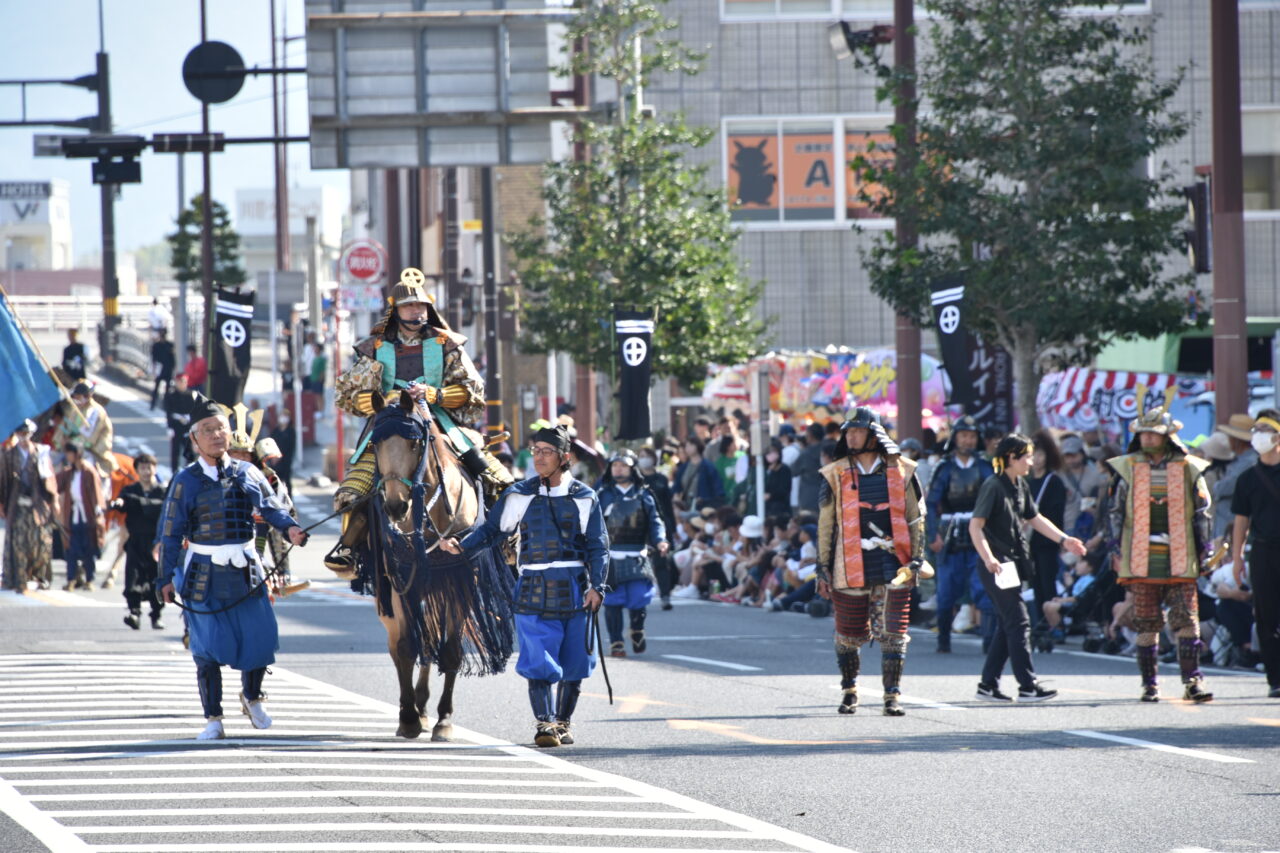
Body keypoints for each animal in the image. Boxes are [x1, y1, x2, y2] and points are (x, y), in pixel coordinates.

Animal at [360, 389, 509, 737]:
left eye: (414, 443)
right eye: (375, 443)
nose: (395, 506)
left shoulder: (462, 578)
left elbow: (451, 649)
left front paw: (444, 719)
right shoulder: (401, 581)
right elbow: (405, 647)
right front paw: (408, 718)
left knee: (431, 638)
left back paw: (427, 708)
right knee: (406, 642)